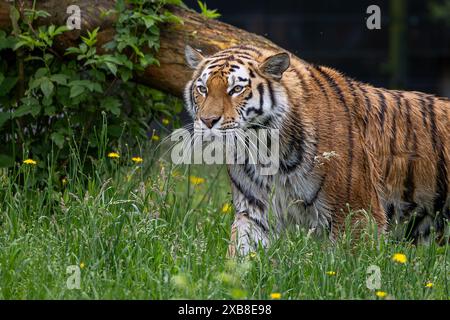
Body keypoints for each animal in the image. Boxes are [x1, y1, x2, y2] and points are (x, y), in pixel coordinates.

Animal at [183, 44, 450, 255]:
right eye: (202, 89)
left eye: (236, 89)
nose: (207, 121)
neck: (264, 147)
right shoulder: (254, 210)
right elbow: (241, 253)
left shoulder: (357, 211)